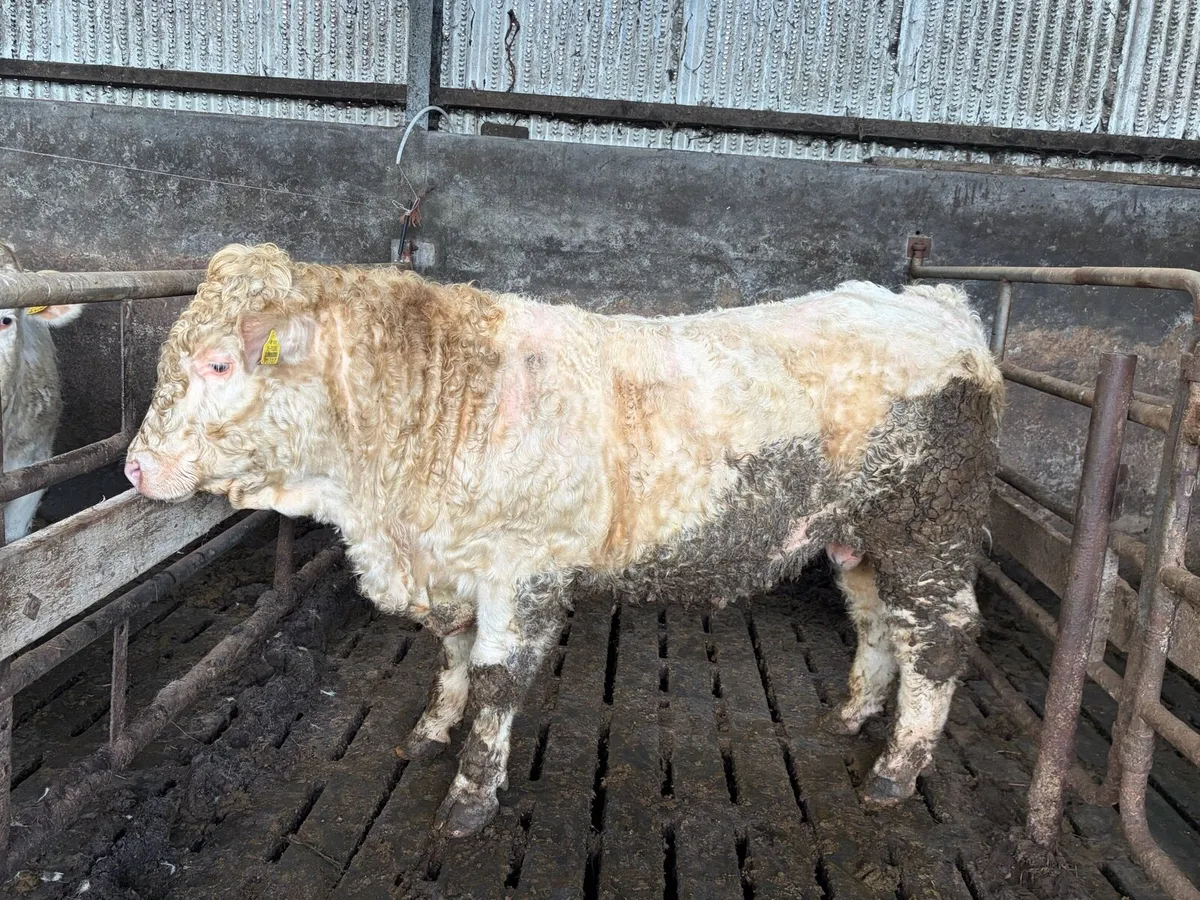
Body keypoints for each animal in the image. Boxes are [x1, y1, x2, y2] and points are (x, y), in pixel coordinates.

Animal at [125, 243, 1002, 837]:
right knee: (879, 622)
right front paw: (431, 731)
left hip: (928, 529)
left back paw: (897, 768)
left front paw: (471, 795)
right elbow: (451, 654)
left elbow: (496, 680)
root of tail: (938, 306)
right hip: (859, 538)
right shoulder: (452, 564)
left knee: (939, 638)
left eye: (218, 364)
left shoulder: (520, 569)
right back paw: (851, 715)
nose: (135, 466)